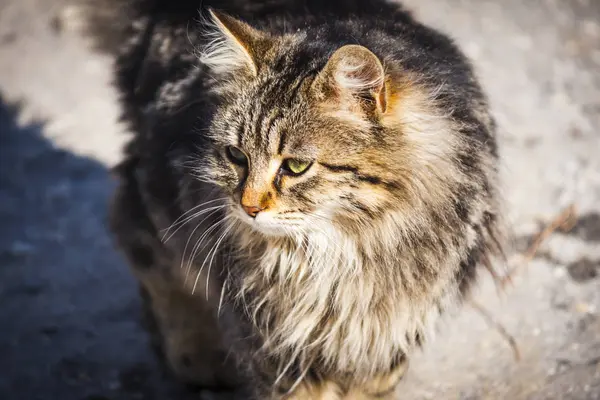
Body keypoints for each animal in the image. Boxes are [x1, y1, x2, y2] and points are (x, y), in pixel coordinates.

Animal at [81, 1, 502, 398]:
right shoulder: (274, 343)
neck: (339, 257)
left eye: (297, 166)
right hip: (162, 203)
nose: (248, 207)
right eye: (236, 156)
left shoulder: (383, 341)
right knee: (143, 246)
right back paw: (197, 357)